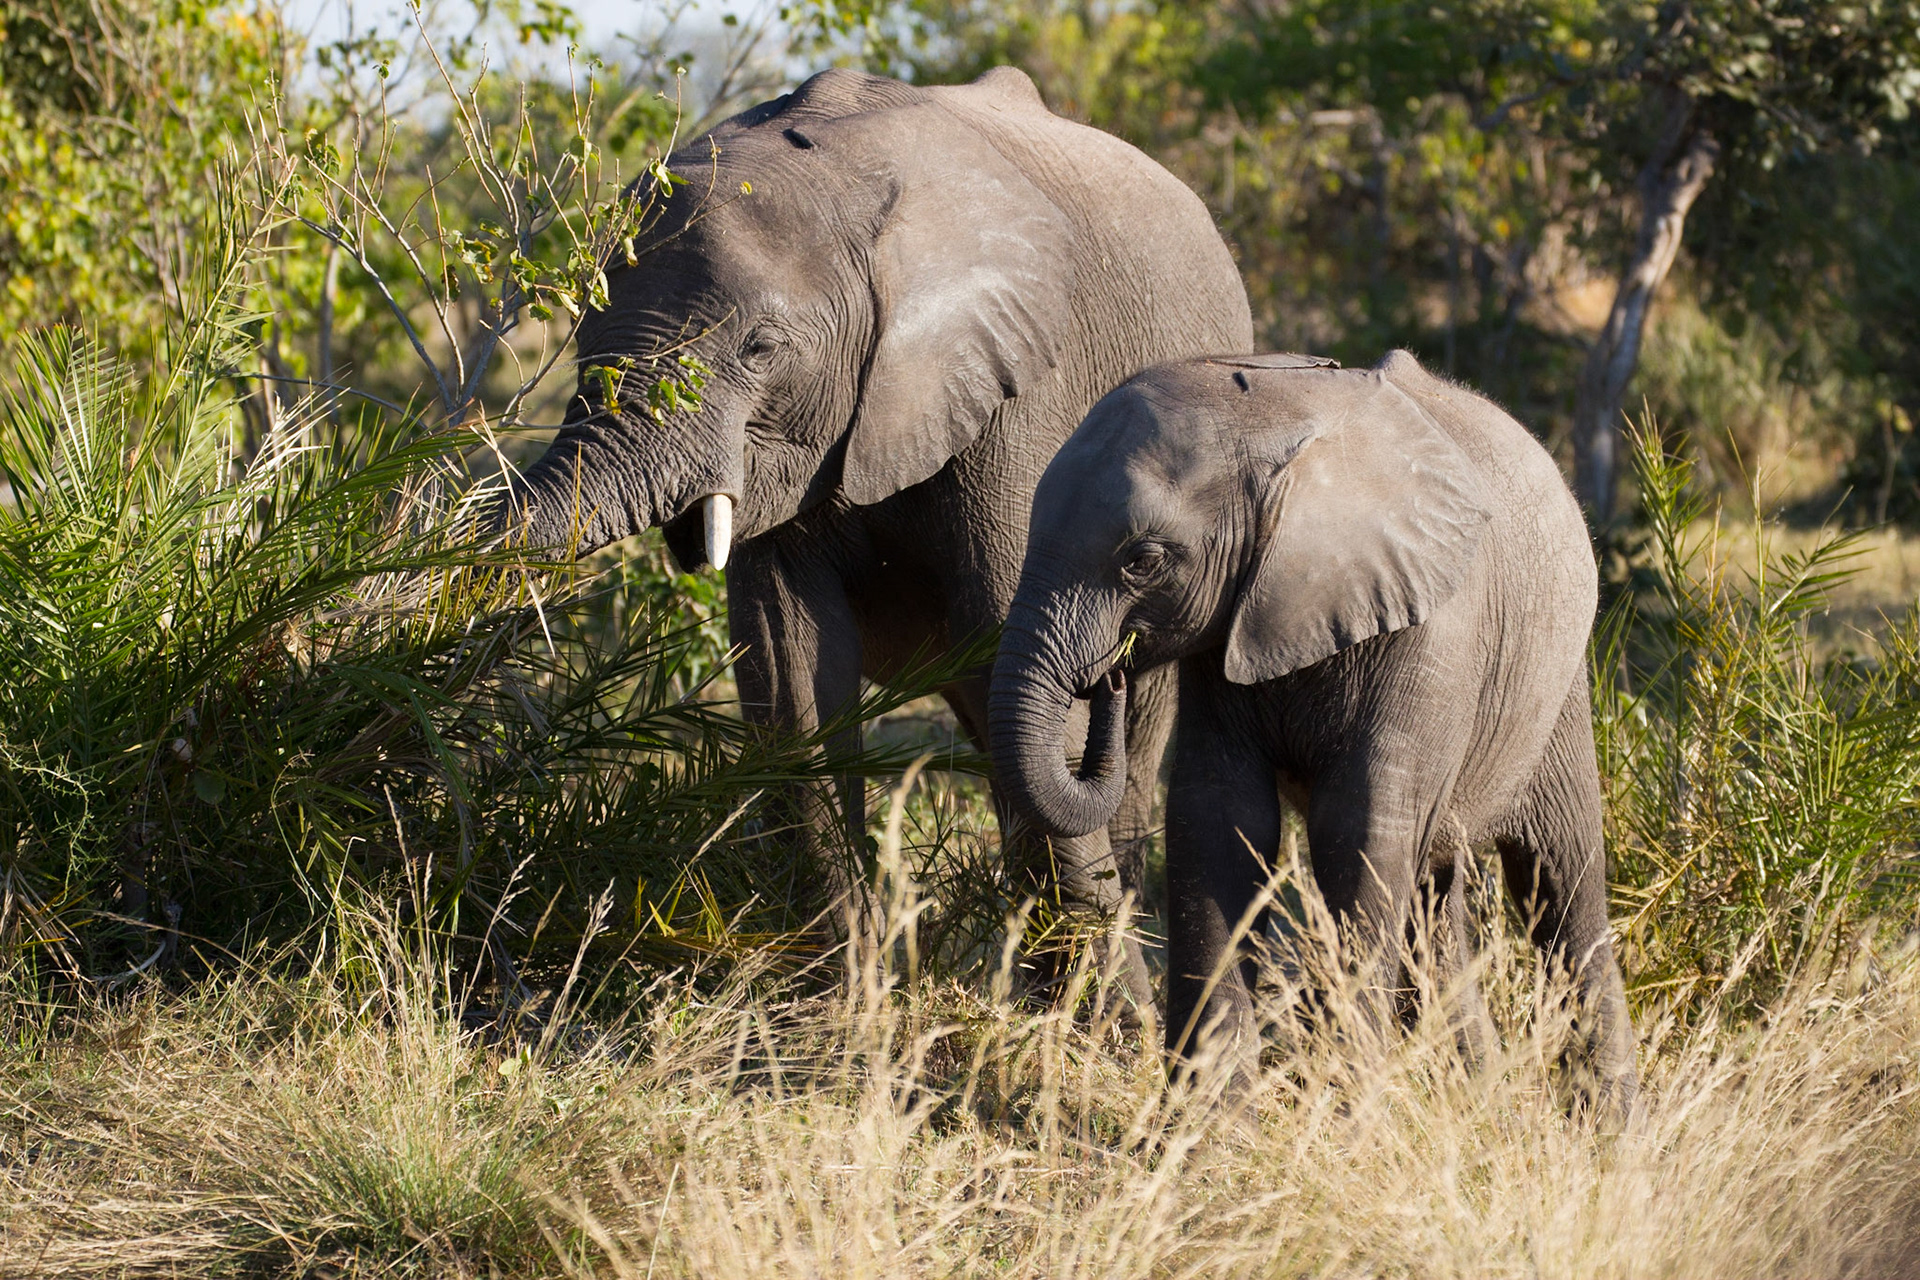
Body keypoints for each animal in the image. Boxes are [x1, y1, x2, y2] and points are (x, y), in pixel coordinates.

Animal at [503, 66, 1253, 997]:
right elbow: (788, 662)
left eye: (759, 348)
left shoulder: (1022, 392)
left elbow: (1013, 645)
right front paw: (837, 1010)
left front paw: (1098, 1025)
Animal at [988, 348, 1638, 1113]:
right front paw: (1210, 1127)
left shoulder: (1432, 629)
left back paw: (1611, 1127)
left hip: (1560, 684)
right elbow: (1218, 819)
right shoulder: (1229, 623)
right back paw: (1475, 1103)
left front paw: (1344, 1117)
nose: (1110, 673)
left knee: (1560, 882)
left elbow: (1358, 831)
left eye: (1142, 559)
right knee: (1435, 894)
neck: (1276, 418)